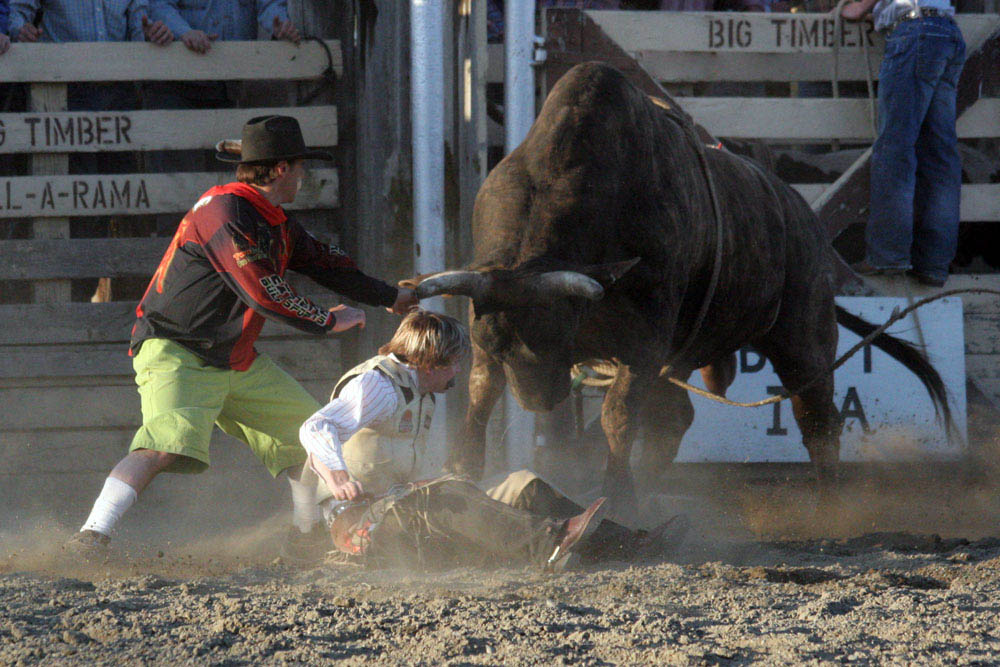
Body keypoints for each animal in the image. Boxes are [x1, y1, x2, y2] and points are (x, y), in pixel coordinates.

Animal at [406, 62, 952, 506]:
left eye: (559, 335)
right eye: (505, 346)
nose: (538, 400)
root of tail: (802, 217)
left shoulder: (644, 345)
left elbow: (618, 415)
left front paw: (617, 497)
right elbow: (480, 390)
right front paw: (460, 469)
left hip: (805, 337)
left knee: (817, 418)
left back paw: (829, 506)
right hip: (690, 355)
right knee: (675, 420)